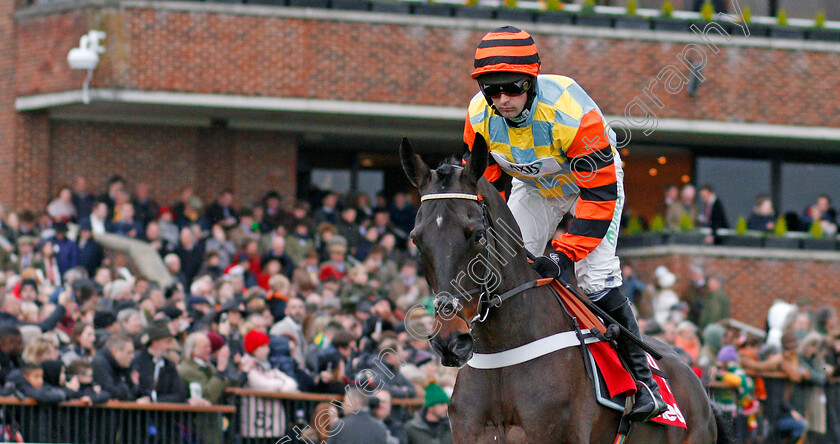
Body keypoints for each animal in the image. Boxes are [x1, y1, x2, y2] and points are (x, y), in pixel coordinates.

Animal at [400, 136, 720, 444]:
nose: (449, 339)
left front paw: (553, 263)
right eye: (417, 239)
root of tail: (696, 383)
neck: (502, 352)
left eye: (478, 235)